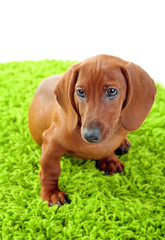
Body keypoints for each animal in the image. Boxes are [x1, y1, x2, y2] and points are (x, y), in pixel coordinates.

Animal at [28, 54, 157, 206]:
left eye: (111, 91)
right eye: (80, 92)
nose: (89, 136)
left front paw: (110, 159)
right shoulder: (51, 141)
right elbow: (50, 170)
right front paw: (52, 193)